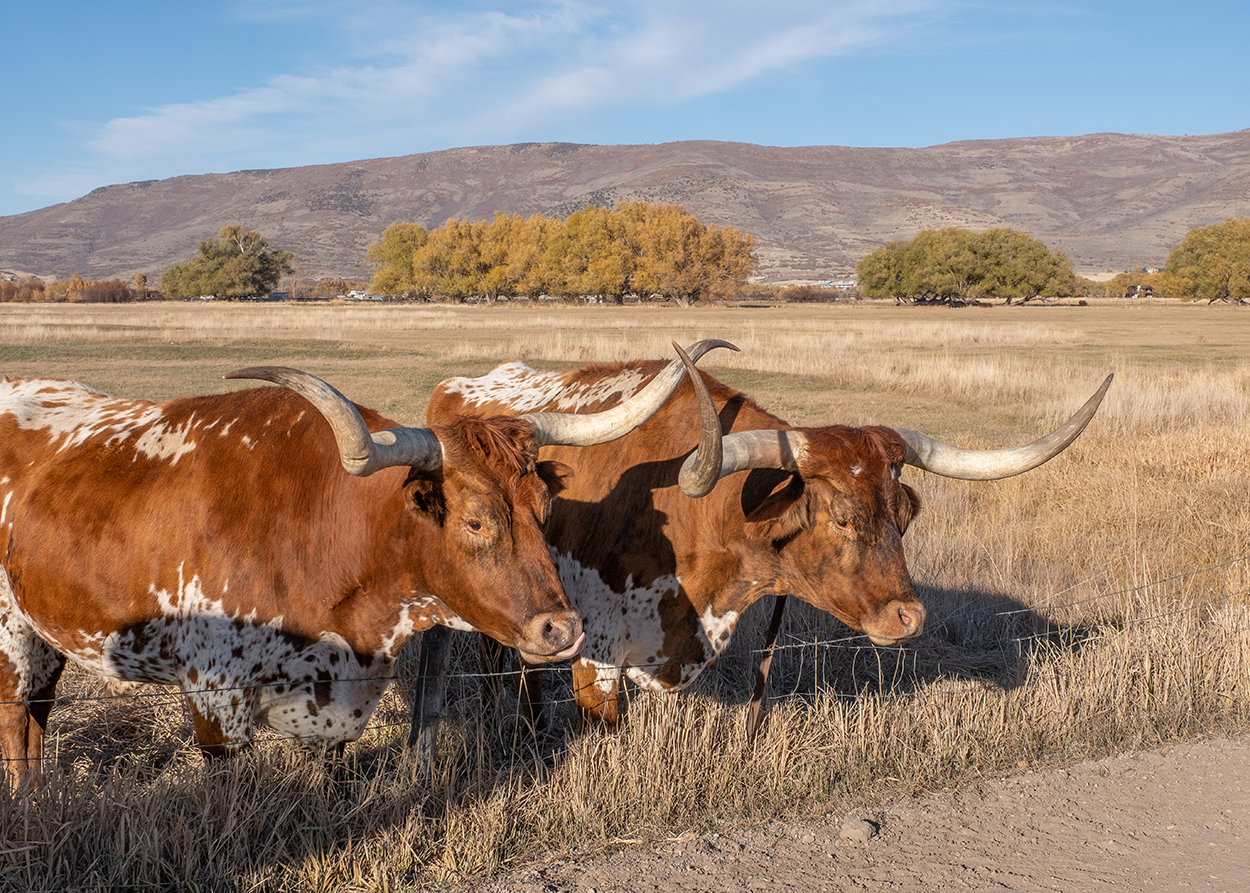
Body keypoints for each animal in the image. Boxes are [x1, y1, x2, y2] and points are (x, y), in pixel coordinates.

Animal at [0, 346, 719, 784]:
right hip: (10, 632)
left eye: (543, 506)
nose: (562, 630)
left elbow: (333, 766)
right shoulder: (214, 696)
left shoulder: (339, 687)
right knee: (15, 715)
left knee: (37, 713)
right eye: (476, 520)